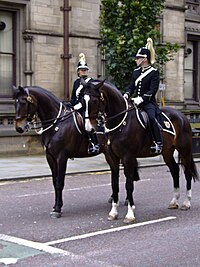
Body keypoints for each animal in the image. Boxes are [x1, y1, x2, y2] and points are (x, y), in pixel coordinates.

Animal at [12, 86, 115, 220]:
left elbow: (60, 182)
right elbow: (55, 182)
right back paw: (113, 197)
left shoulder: (61, 157)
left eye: (24, 102)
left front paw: (57, 209)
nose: (19, 127)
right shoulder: (50, 157)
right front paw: (56, 206)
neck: (57, 123)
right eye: (15, 103)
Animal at [82, 80, 198, 224]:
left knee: (187, 173)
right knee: (175, 170)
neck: (121, 123)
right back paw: (174, 201)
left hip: (185, 150)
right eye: (82, 100)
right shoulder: (113, 159)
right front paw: (113, 212)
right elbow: (115, 184)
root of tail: (182, 116)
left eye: (94, 100)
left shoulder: (128, 157)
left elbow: (129, 184)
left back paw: (186, 203)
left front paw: (130, 214)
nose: (88, 128)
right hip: (167, 151)